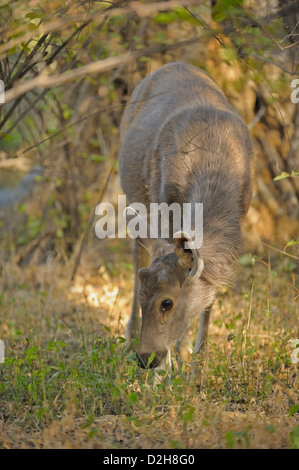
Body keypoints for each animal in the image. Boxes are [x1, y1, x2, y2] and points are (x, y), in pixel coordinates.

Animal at [118, 62, 254, 378]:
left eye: (167, 302)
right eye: (144, 300)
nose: (146, 358)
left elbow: (209, 295)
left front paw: (196, 369)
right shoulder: (164, 206)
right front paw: (167, 371)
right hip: (135, 195)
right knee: (135, 251)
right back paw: (129, 338)